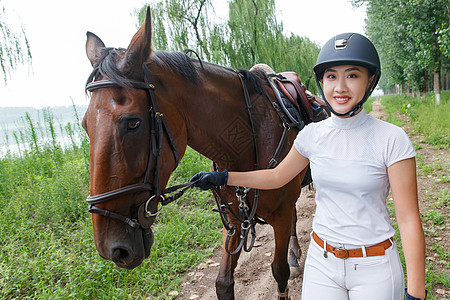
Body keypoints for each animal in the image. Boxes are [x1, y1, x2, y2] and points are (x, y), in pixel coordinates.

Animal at [83, 7, 310, 300]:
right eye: (84, 125)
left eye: (133, 123)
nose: (111, 248)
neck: (246, 144)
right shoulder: (233, 220)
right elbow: (223, 283)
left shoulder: (279, 216)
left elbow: (279, 271)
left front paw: (288, 262)